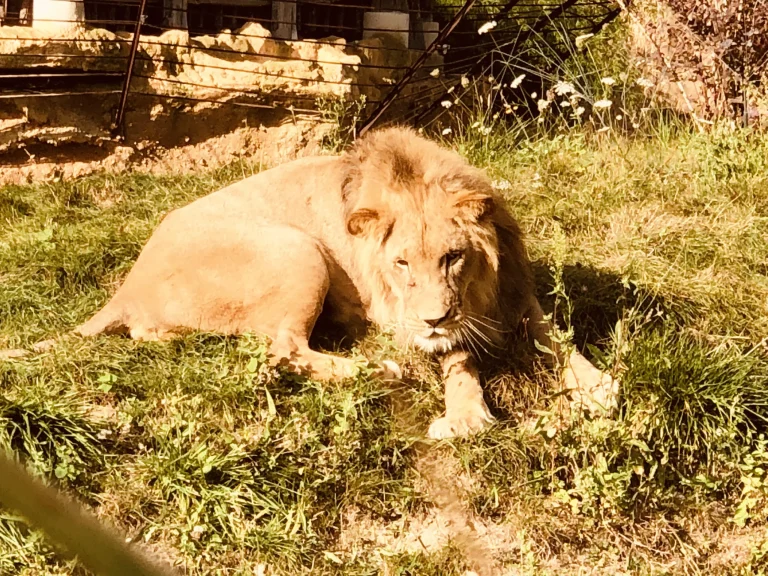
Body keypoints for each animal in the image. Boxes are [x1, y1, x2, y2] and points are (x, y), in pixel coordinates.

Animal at [2, 127, 617, 438]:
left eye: (453, 258)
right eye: (401, 265)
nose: (435, 317)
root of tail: (126, 286)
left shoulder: (515, 294)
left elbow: (554, 337)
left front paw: (596, 387)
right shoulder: (403, 319)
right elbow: (458, 357)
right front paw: (466, 415)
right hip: (296, 249)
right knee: (283, 353)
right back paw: (380, 370)